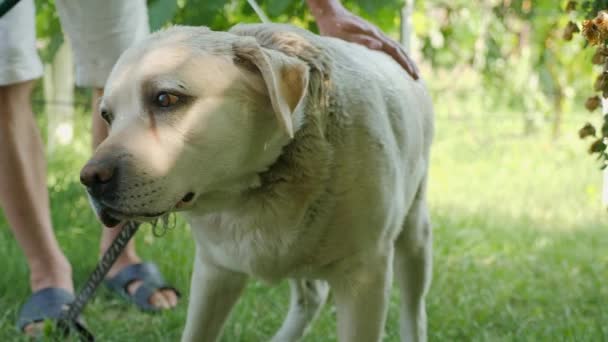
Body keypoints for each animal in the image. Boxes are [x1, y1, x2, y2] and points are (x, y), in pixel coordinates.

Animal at [79, 24, 432, 342]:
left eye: (166, 99)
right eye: (107, 116)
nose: (90, 180)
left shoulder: (364, 277)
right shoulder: (215, 272)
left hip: (414, 239)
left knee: (414, 311)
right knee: (311, 297)